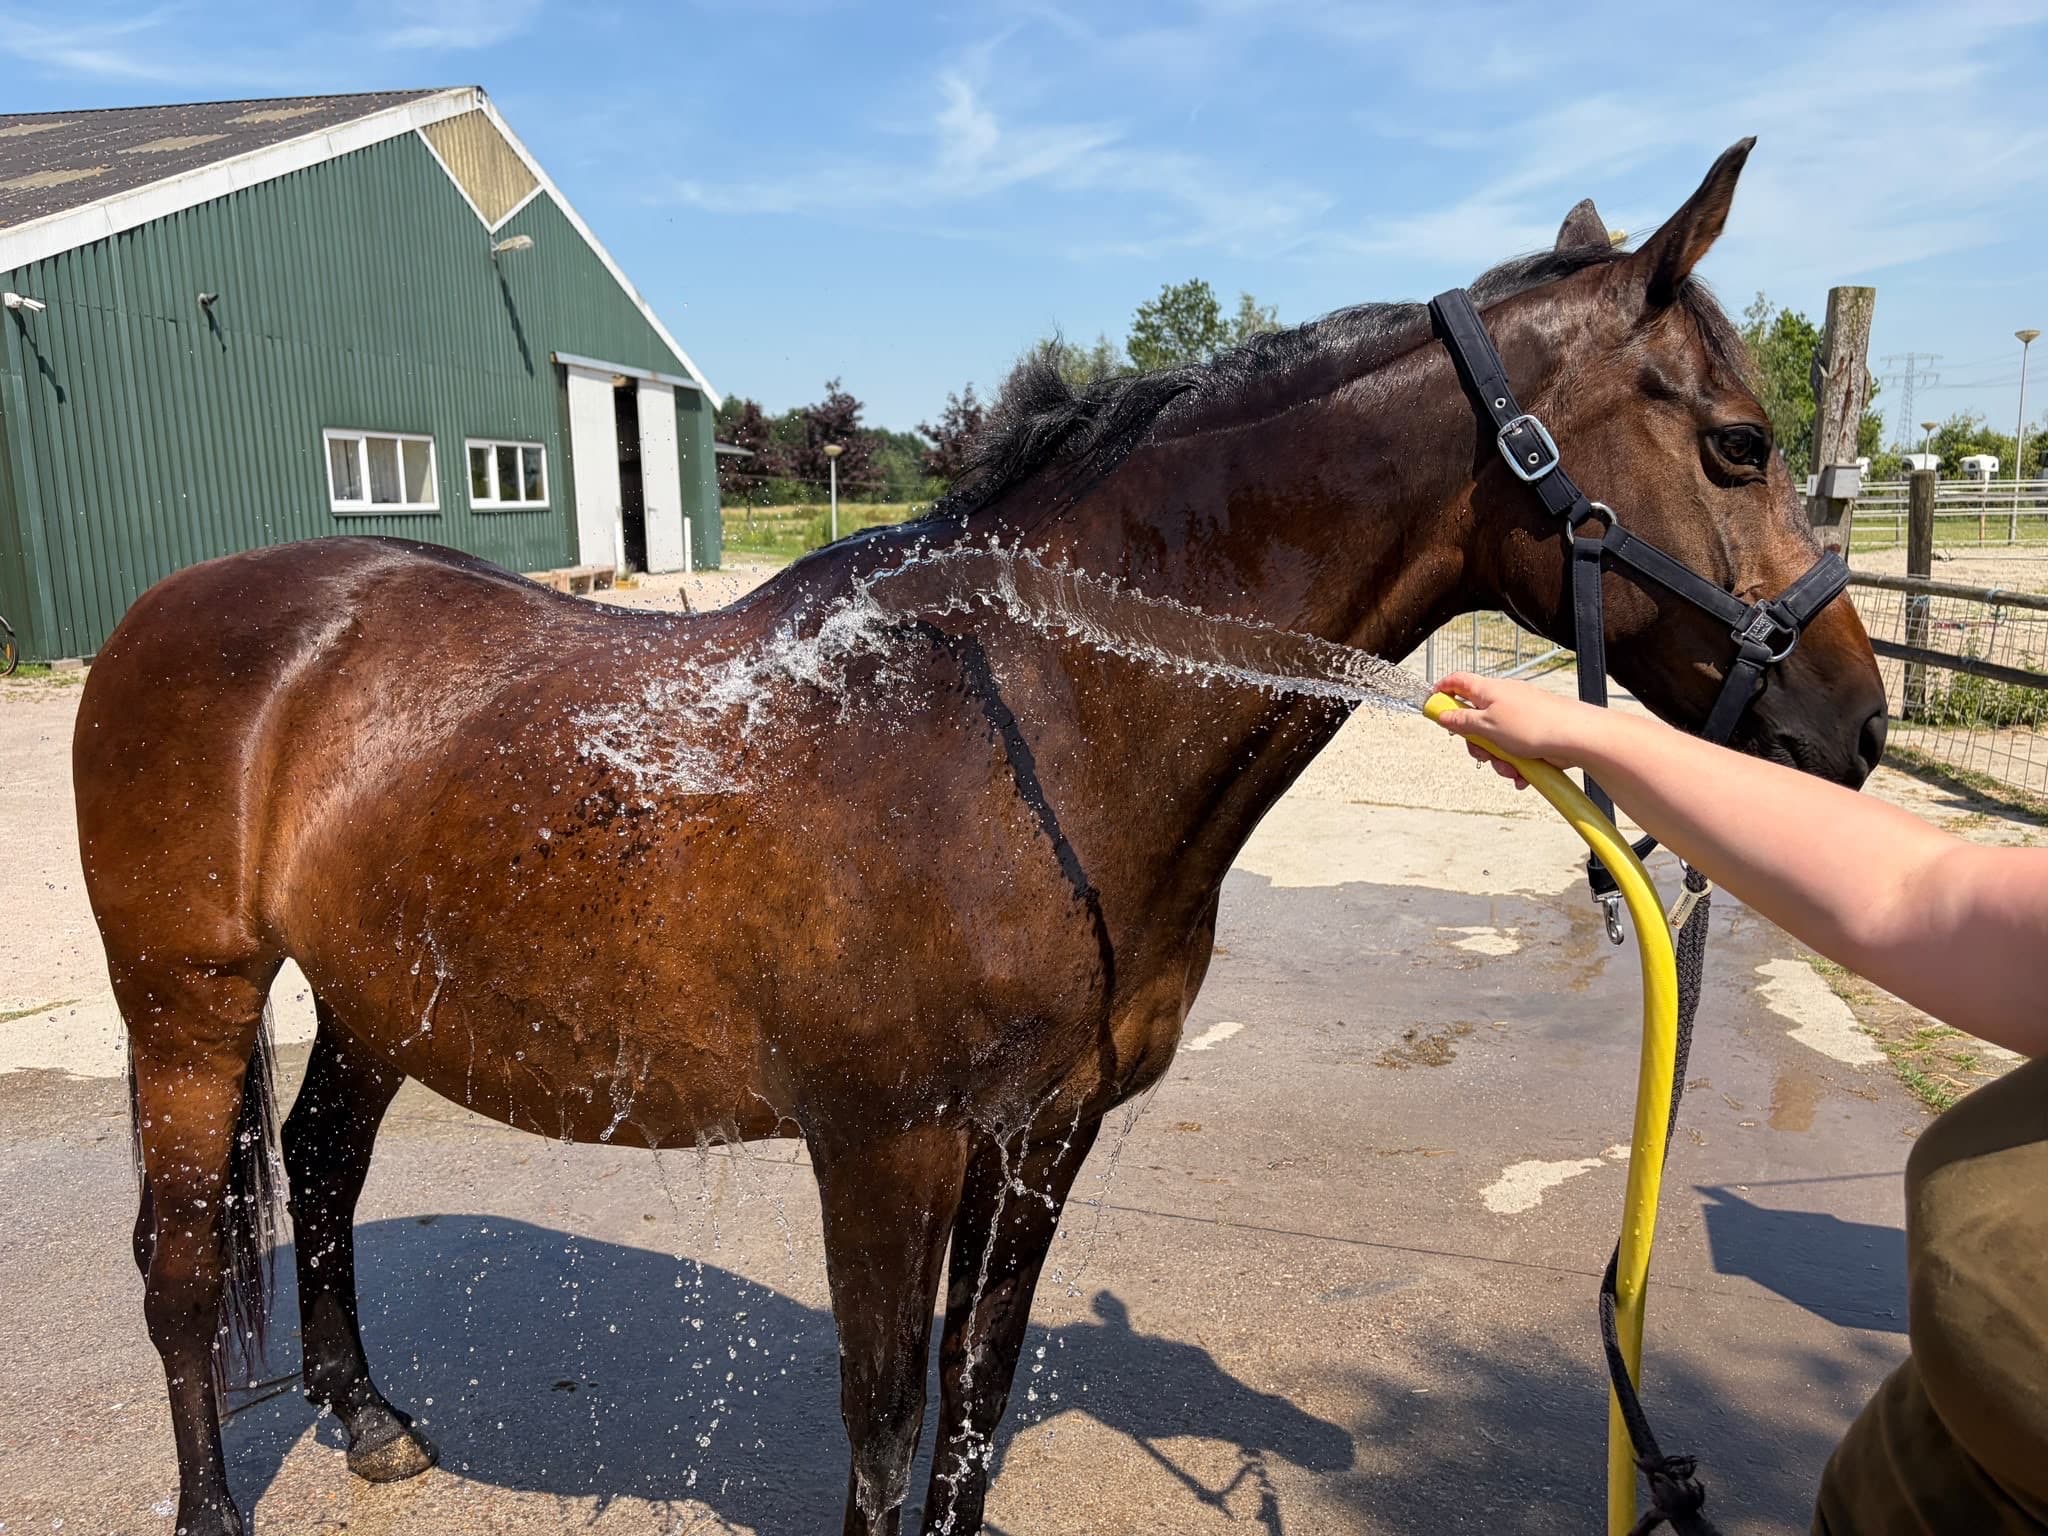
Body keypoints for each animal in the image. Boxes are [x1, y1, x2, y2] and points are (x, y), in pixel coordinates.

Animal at [75, 139, 1886, 1536]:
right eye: (1736, 441)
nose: (1855, 730)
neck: (1023, 731)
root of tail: (181, 605)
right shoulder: (883, 1148)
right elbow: (884, 1430)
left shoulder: (1040, 1139)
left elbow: (973, 1400)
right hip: (187, 996)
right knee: (177, 1262)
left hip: (378, 993)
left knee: (319, 1166)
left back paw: (370, 1421)